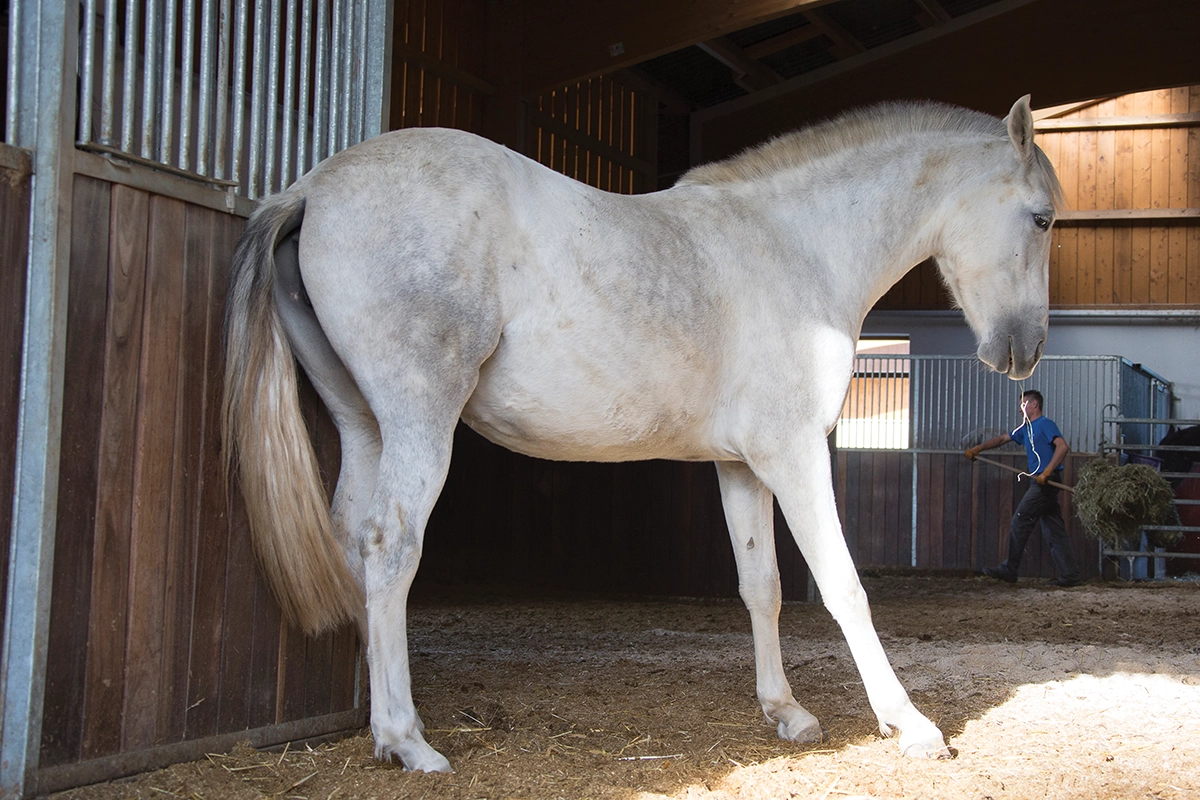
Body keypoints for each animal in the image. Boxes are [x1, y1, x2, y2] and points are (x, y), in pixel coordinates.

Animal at [223, 95, 1062, 772]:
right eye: (1043, 217)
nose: (1023, 352)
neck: (797, 247)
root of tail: (312, 189)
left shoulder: (743, 466)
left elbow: (762, 586)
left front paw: (785, 712)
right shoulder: (794, 455)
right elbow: (843, 586)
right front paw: (911, 725)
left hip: (363, 424)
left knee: (349, 538)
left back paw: (371, 720)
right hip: (417, 419)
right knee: (389, 546)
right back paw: (407, 738)